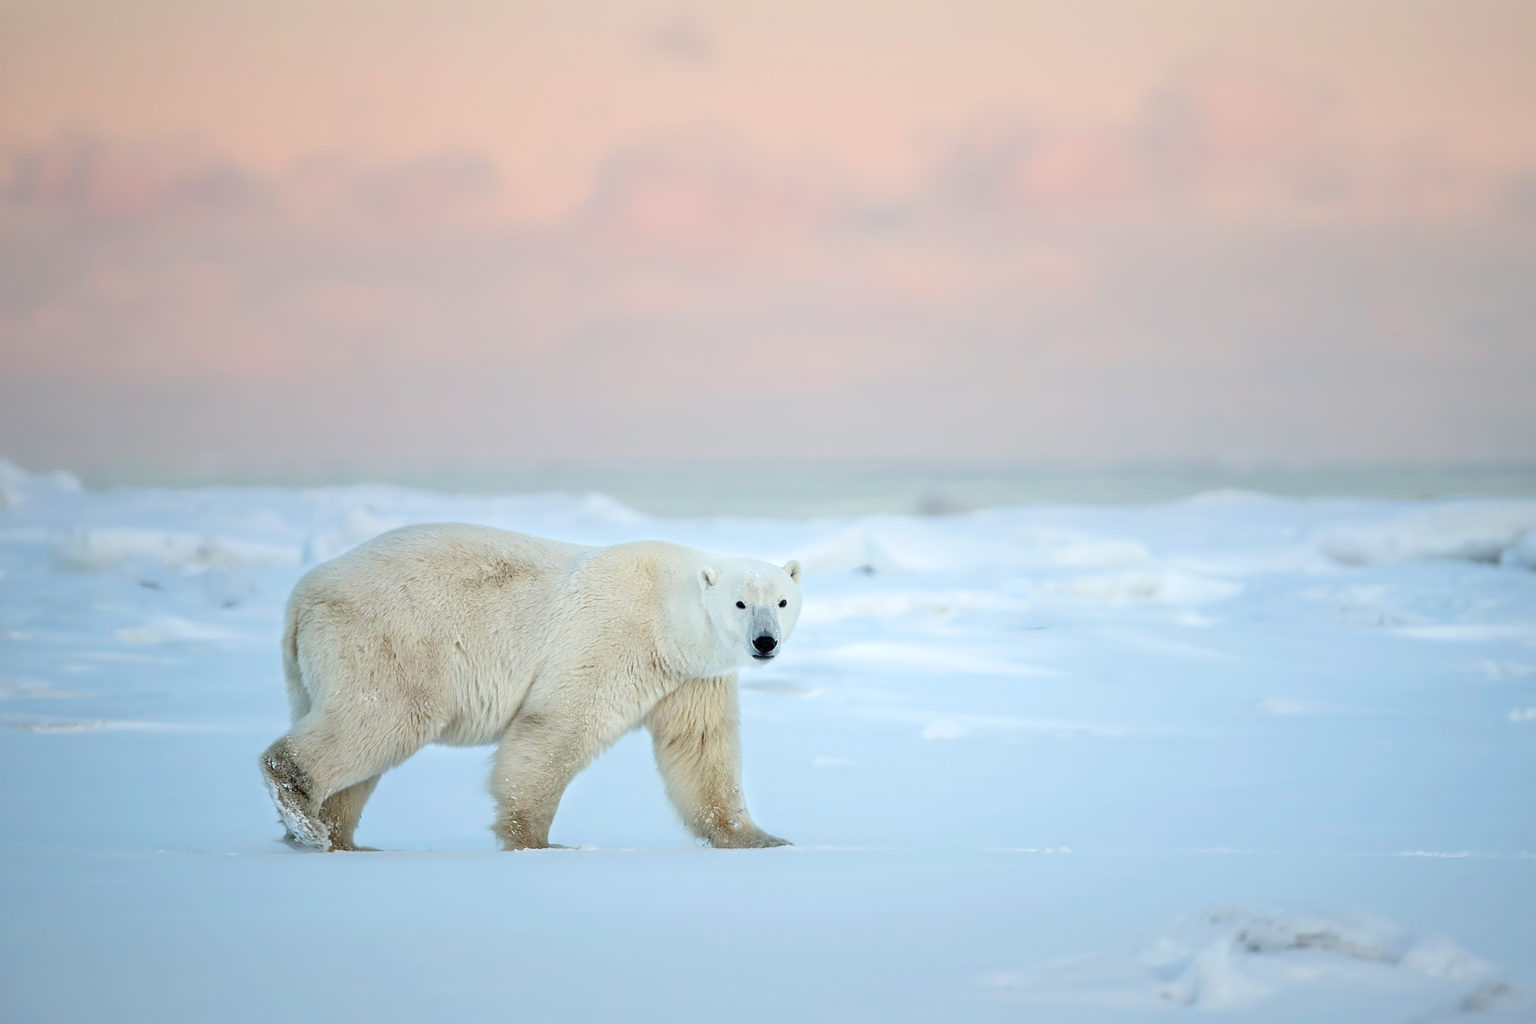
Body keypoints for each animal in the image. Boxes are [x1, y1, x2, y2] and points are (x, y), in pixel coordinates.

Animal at [261, 525, 804, 853]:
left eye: (781, 601)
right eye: (740, 603)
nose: (765, 642)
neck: (666, 611)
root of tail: (300, 597)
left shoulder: (692, 676)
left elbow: (700, 749)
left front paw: (762, 839)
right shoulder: (609, 635)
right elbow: (558, 725)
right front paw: (537, 843)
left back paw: (340, 839)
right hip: (389, 639)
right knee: (385, 715)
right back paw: (304, 812)